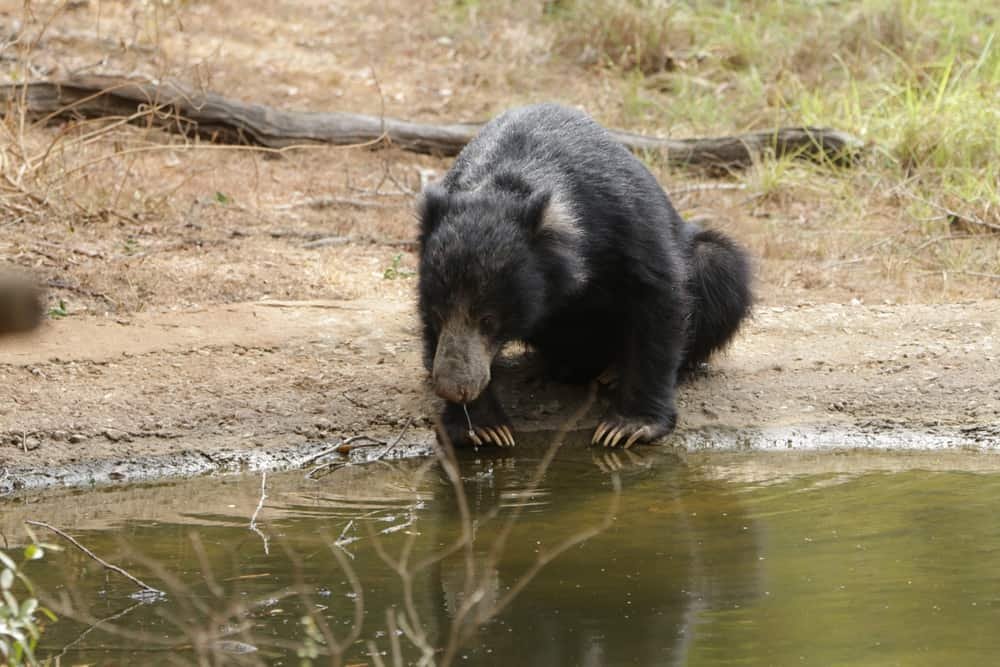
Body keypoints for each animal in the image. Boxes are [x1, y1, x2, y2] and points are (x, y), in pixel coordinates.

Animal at [414, 104, 752, 448]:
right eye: (437, 314)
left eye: (488, 319)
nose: (454, 388)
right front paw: (482, 427)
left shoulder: (626, 220)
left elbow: (658, 298)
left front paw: (627, 427)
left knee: (718, 267)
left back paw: (613, 372)